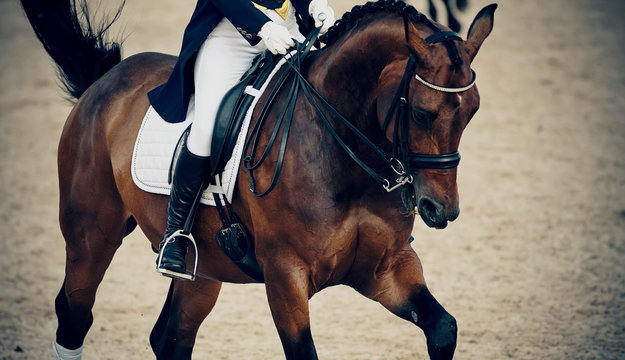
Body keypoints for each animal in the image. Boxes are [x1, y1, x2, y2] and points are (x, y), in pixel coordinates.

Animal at [22, 0, 494, 360]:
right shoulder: (285, 277)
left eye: (473, 111)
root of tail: (106, 81)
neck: (340, 148)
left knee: (170, 338)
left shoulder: (386, 268)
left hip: (204, 268)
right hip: (91, 238)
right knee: (74, 316)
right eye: (423, 114)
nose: (441, 209)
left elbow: (444, 328)